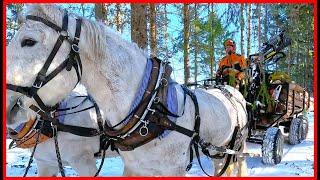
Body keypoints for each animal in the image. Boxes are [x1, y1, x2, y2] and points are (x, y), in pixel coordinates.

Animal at [6, 4, 248, 176]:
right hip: (217, 152)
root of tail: (229, 89)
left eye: (29, 41)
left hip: (234, 149)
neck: (151, 109)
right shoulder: (133, 167)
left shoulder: (84, 161)